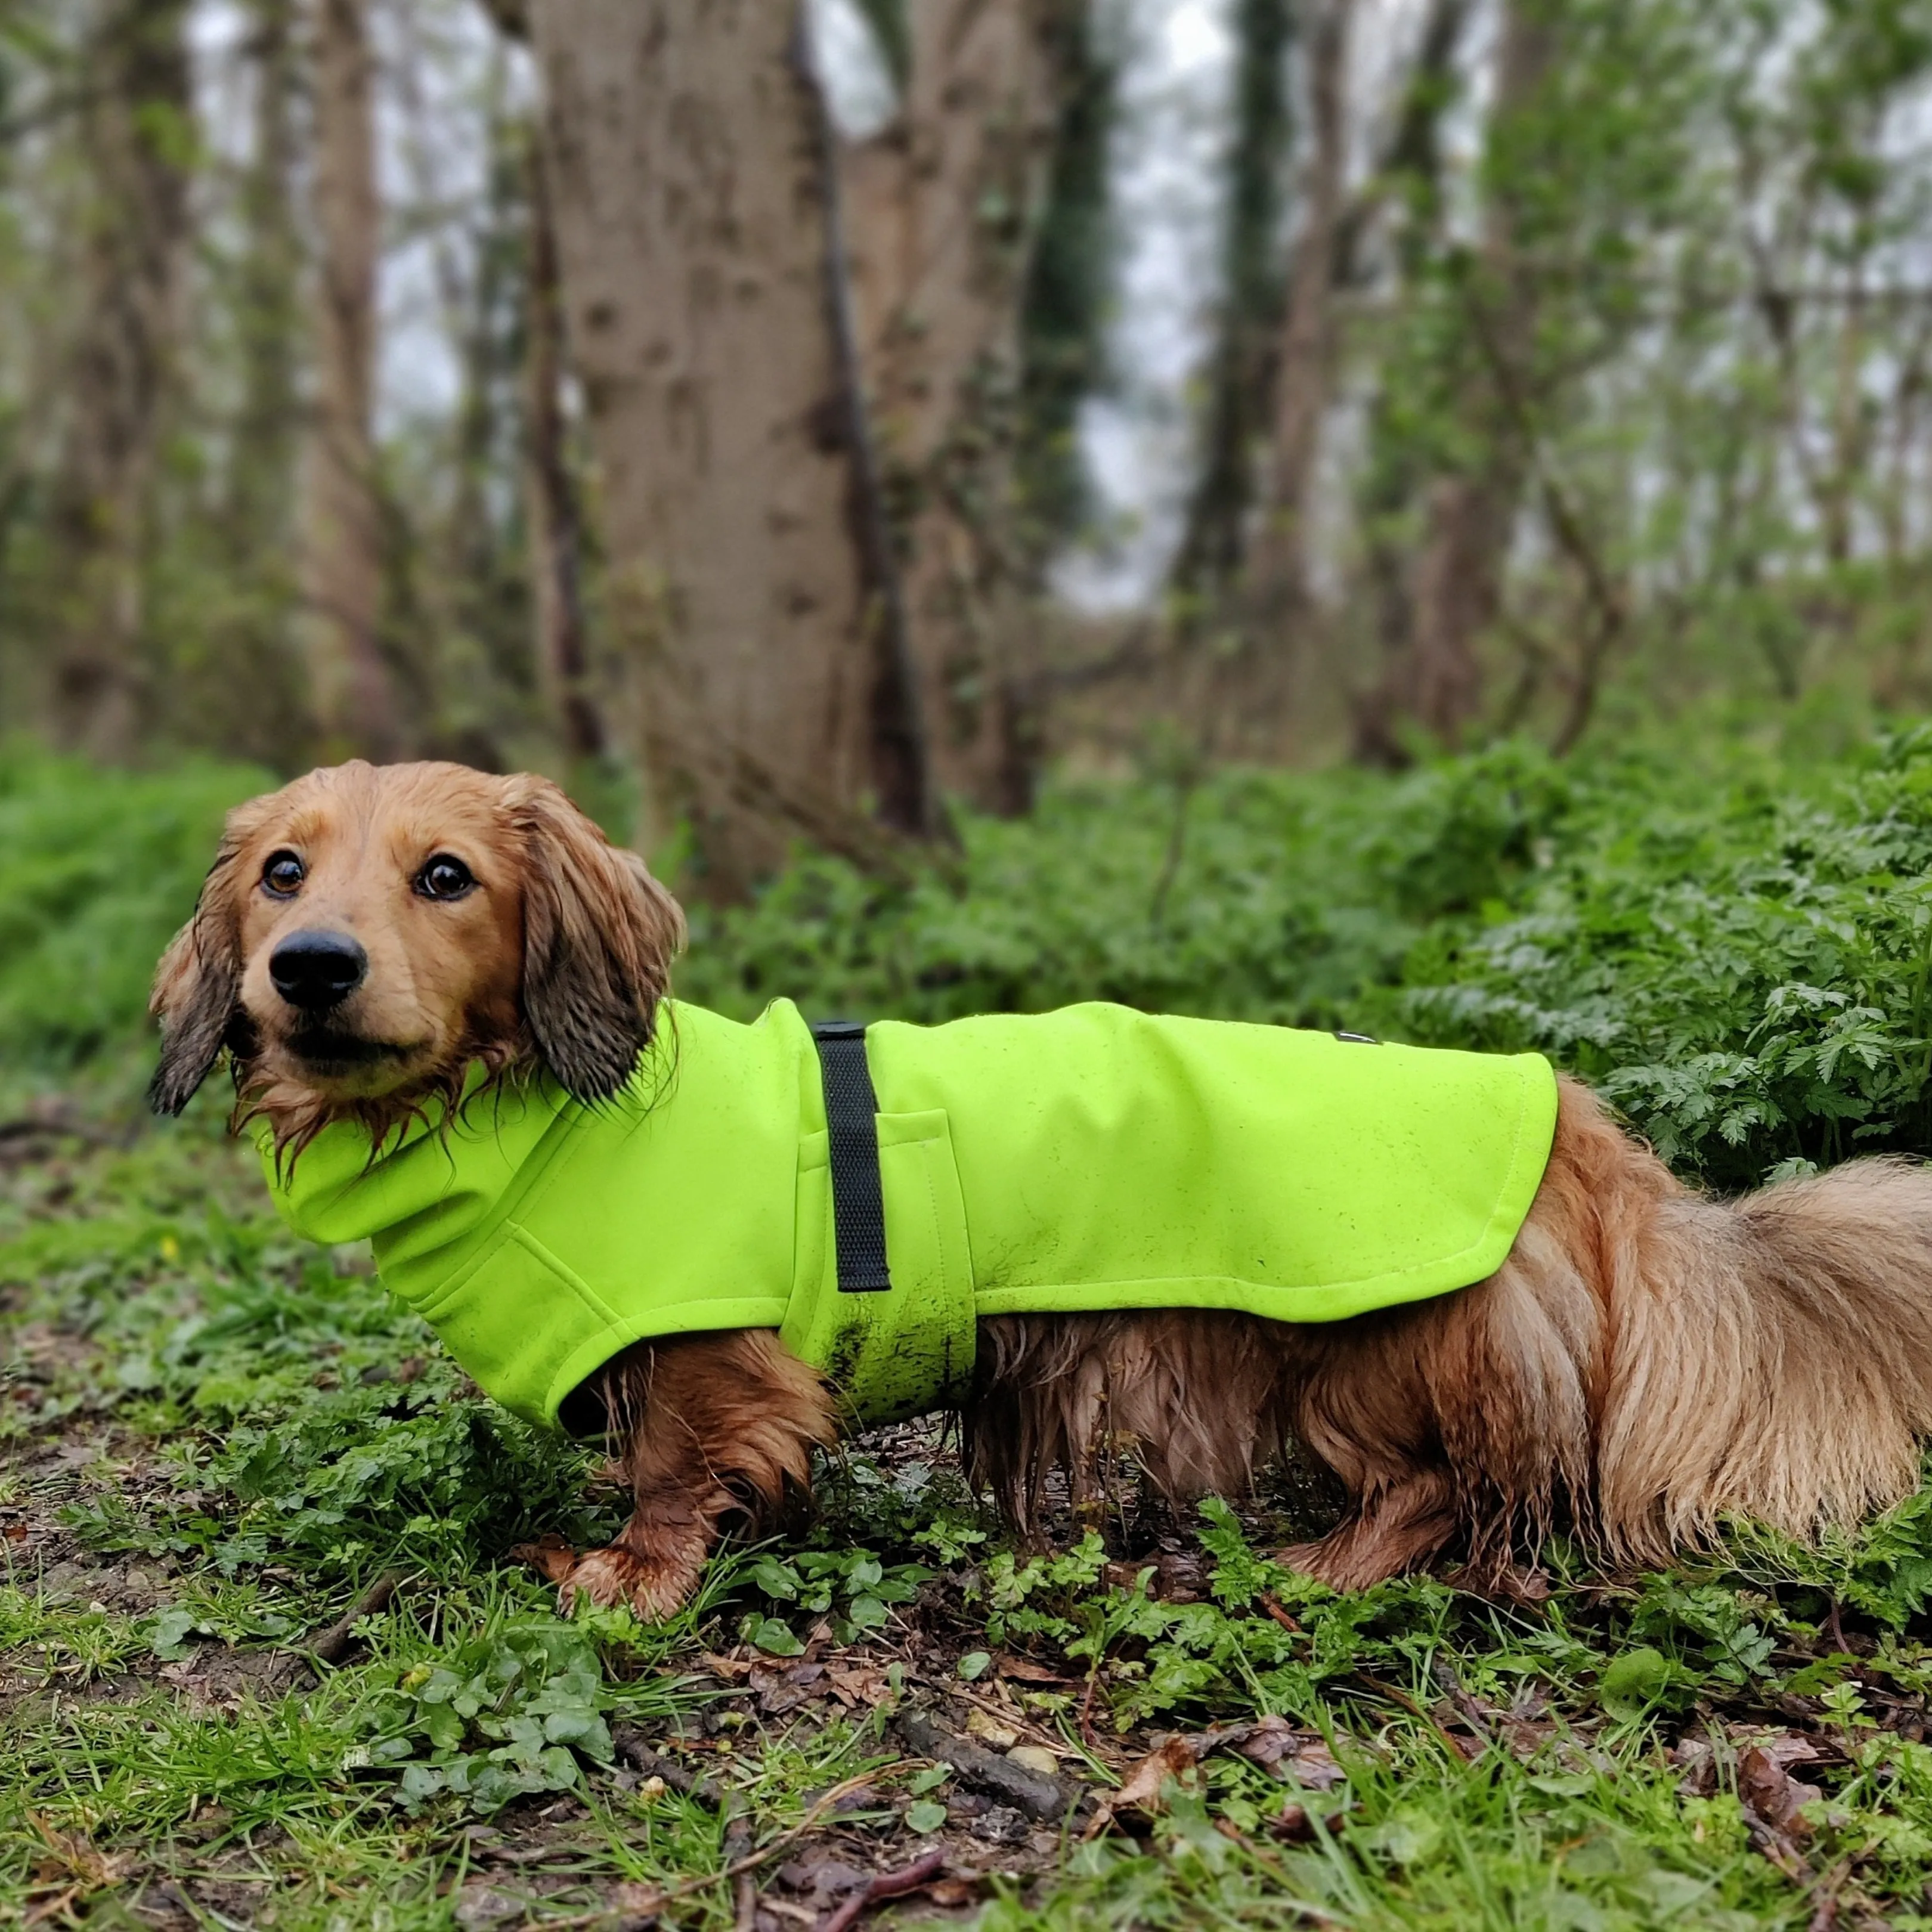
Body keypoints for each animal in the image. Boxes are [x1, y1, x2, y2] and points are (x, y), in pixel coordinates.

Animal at [150, 757, 1932, 1615]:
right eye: (284, 872)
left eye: (447, 876)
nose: (309, 968)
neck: (519, 1114)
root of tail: (1563, 1110)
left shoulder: (710, 1356)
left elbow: (675, 1469)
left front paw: (630, 1582)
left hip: (1366, 1350)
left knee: (1431, 1490)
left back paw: (1317, 1571)